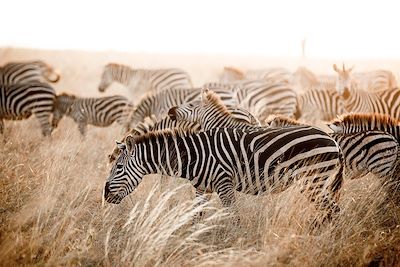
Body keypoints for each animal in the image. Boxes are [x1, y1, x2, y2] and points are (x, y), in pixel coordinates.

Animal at [104, 126, 342, 226]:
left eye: (118, 167)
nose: (105, 195)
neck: (194, 156)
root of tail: (332, 140)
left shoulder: (224, 183)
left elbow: (233, 216)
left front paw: (234, 242)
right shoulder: (202, 188)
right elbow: (196, 216)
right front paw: (193, 240)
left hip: (313, 179)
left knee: (333, 210)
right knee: (331, 210)